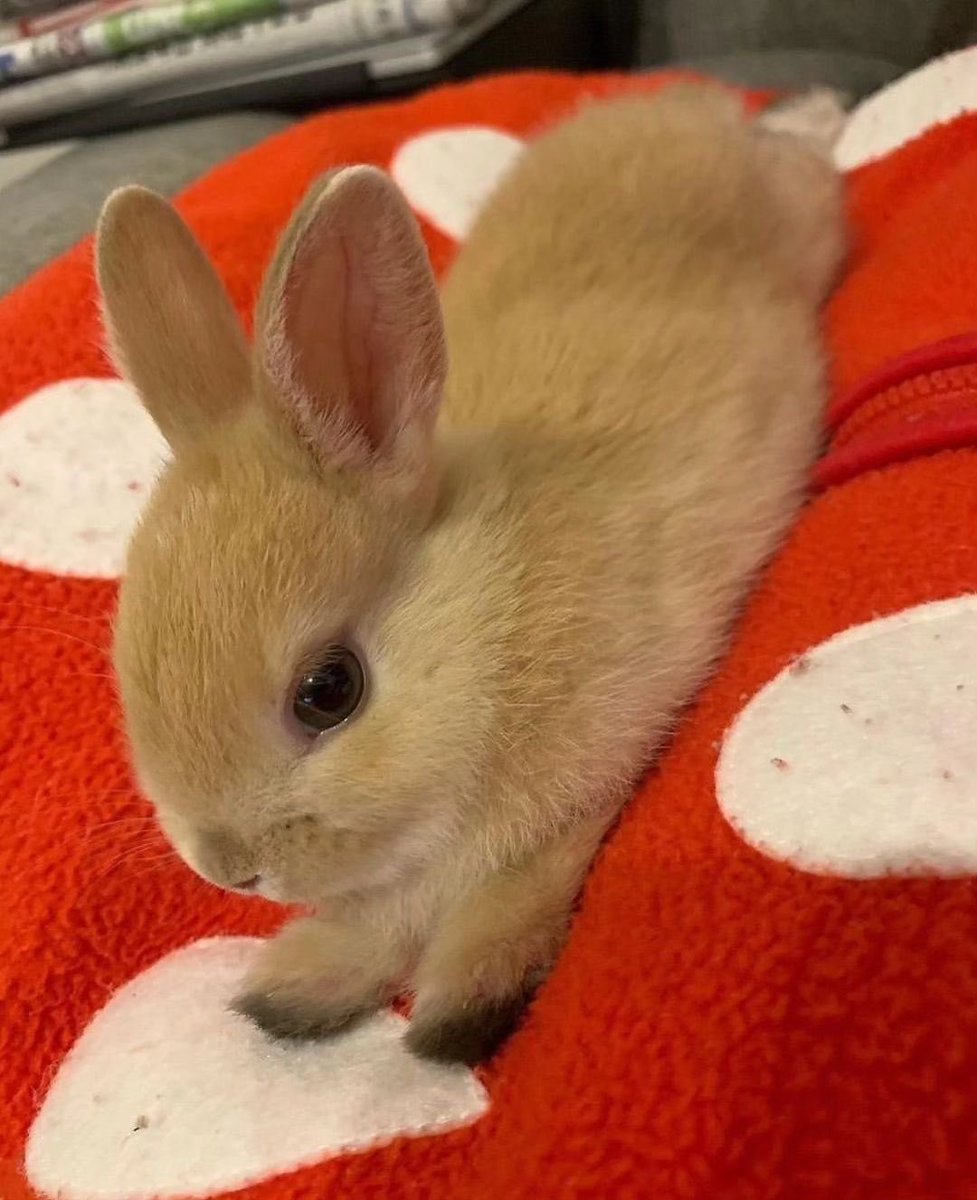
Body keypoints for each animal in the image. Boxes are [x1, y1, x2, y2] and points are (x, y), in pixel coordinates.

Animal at [97, 83, 846, 1065]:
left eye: (328, 691)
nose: (230, 868)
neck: (485, 616)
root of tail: (686, 109)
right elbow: (382, 916)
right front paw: (299, 990)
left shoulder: (587, 780)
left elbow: (510, 888)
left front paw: (460, 1008)